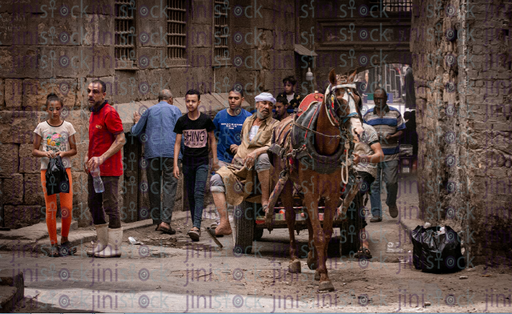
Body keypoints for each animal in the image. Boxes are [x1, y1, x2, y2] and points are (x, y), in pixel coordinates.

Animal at [268, 68, 360, 292]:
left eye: (358, 99)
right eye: (339, 101)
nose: (358, 131)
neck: (323, 147)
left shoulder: (332, 194)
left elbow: (323, 232)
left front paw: (320, 270)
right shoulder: (310, 190)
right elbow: (316, 232)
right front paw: (325, 277)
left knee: (309, 220)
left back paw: (311, 259)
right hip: (286, 180)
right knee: (291, 217)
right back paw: (294, 260)